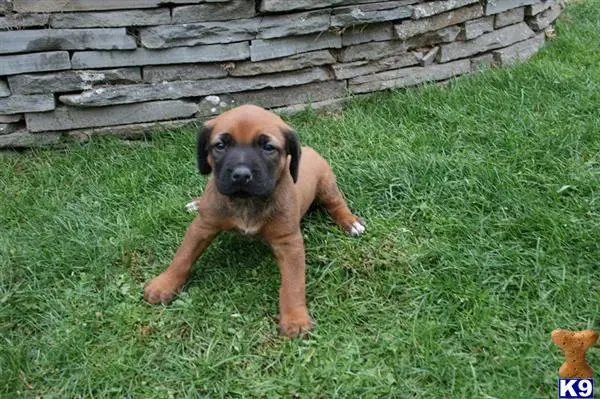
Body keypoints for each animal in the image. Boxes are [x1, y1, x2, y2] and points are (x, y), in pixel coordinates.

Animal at [144, 104, 366, 338]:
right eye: (220, 145)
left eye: (268, 147)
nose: (241, 175)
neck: (246, 202)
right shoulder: (202, 226)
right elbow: (182, 256)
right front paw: (164, 284)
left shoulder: (289, 243)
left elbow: (293, 283)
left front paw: (295, 318)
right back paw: (196, 203)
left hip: (327, 185)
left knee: (337, 204)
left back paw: (350, 222)